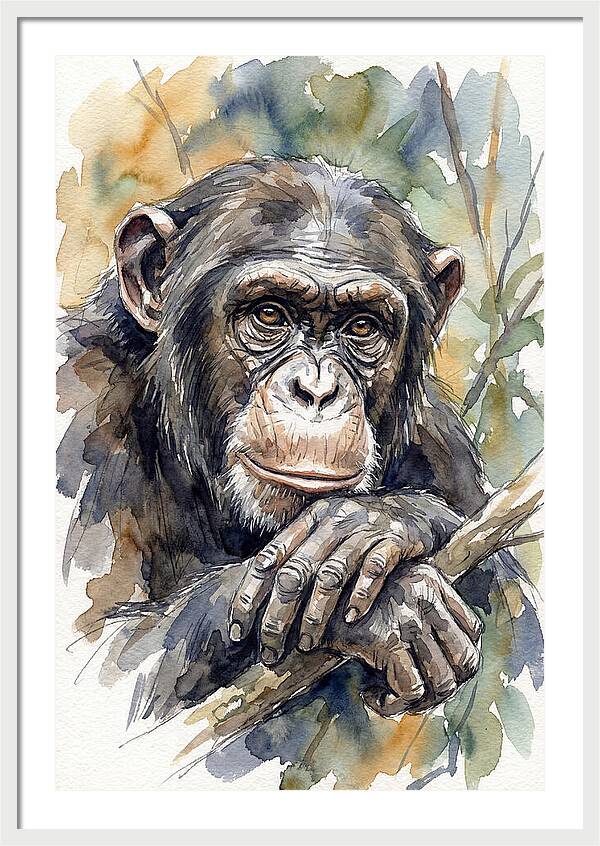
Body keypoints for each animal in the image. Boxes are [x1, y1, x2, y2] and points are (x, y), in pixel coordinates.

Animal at [57, 157, 533, 725]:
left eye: (362, 326)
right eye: (269, 314)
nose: (317, 390)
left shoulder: (441, 440)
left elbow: (518, 618)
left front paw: (374, 524)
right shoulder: (82, 405)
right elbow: (101, 659)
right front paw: (396, 605)